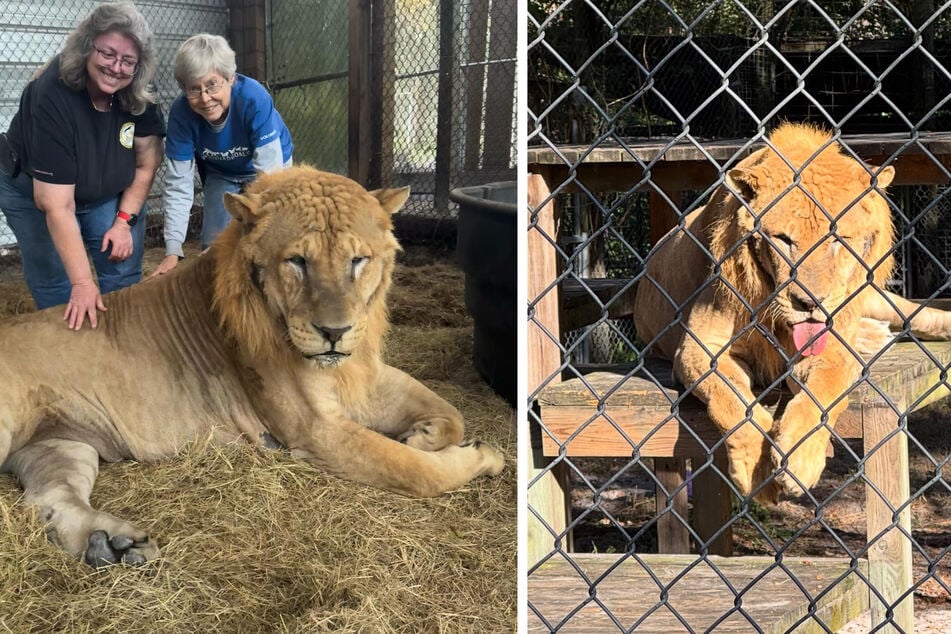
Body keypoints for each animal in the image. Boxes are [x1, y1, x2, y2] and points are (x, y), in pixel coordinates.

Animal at [0, 165, 504, 567]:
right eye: (297, 261)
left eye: (358, 260)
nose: (335, 332)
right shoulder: (315, 428)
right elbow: (415, 471)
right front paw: (481, 456)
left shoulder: (360, 373)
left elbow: (451, 414)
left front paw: (421, 435)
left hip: (61, 445)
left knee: (50, 500)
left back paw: (112, 545)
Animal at [634, 122, 951, 502]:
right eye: (784, 240)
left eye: (837, 239)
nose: (810, 303)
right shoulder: (699, 349)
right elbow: (730, 401)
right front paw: (756, 472)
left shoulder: (832, 349)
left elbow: (824, 391)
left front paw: (800, 460)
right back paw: (873, 335)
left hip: (873, 297)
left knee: (917, 315)